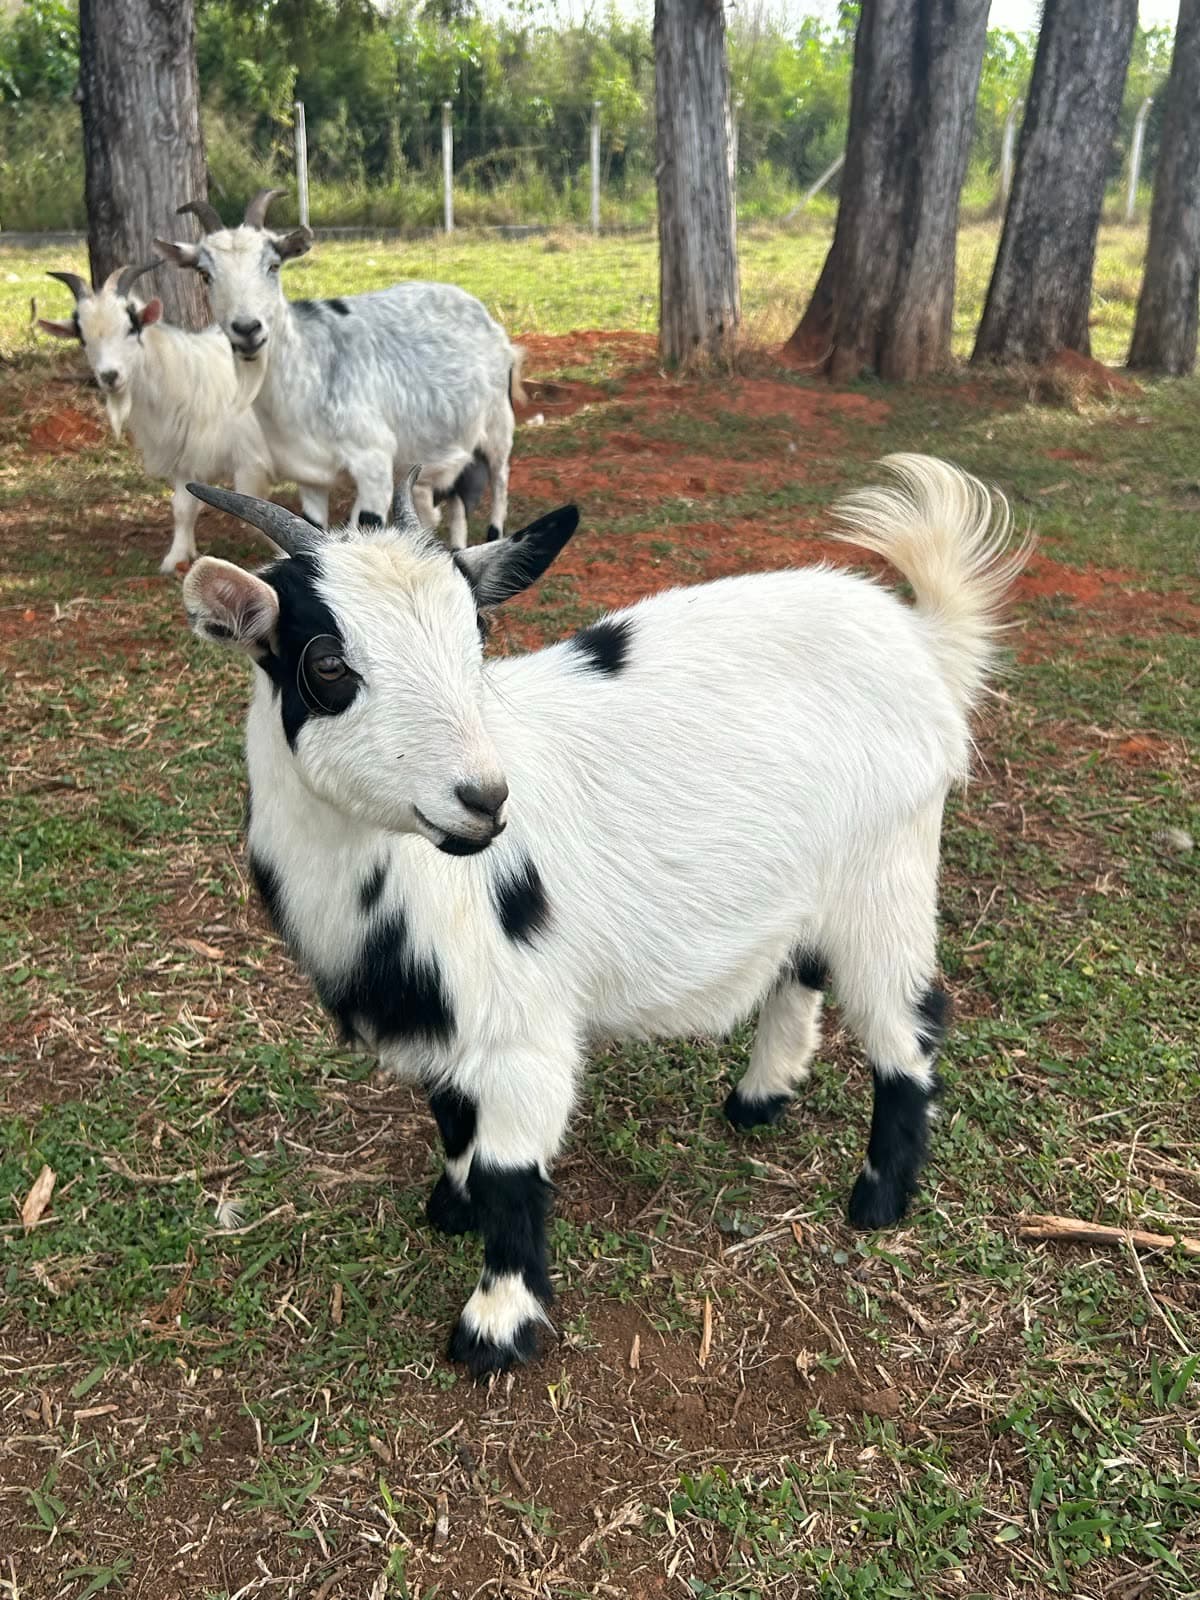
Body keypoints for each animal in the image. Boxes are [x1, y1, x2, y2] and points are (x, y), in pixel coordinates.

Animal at [37, 265, 319, 573]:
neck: (185, 377)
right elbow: (182, 509)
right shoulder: (185, 456)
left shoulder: (250, 460)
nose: (110, 376)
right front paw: (177, 557)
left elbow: (257, 517)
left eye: (131, 328)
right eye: (82, 338)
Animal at [155, 190, 522, 549]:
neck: (311, 369)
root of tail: (479, 311)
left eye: (273, 266)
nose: (247, 329)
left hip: (498, 424)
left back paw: (494, 532)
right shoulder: (309, 475)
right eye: (205, 274)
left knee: (500, 478)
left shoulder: (373, 461)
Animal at [180, 456, 1030, 1377]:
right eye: (329, 662)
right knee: (801, 968)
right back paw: (761, 1096)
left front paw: (497, 1325)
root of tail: (919, 638)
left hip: (889, 867)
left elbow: (513, 1171)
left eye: (478, 639)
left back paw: (878, 1197)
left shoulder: (522, 1025)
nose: (484, 799)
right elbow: (451, 1116)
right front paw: (453, 1205)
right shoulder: (444, 1019)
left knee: (908, 1021)